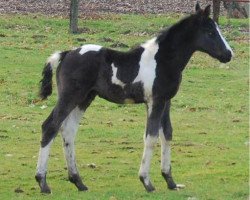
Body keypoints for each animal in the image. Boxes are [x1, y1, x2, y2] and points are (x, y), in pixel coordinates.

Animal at [35, 3, 232, 193]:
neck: (161, 60)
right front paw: (147, 182)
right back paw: (43, 183)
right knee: (50, 126)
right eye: (210, 31)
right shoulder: (155, 102)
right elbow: (151, 137)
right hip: (70, 96)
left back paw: (78, 182)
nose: (229, 54)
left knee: (68, 131)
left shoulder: (166, 101)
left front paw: (170, 181)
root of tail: (66, 53)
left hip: (84, 99)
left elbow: (167, 134)